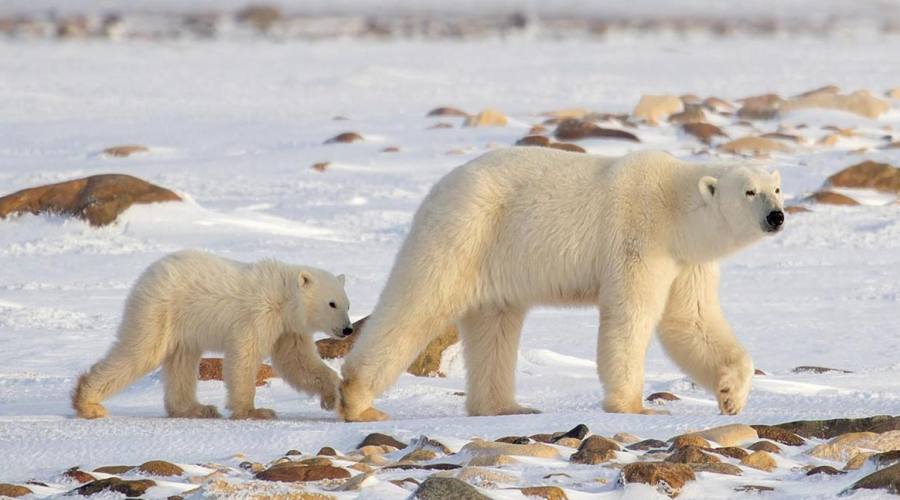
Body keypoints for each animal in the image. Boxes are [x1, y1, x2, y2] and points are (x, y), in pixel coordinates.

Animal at [342, 148, 784, 422]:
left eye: (777, 189)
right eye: (750, 192)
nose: (777, 216)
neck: (674, 207)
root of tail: (438, 189)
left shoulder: (686, 261)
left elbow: (692, 320)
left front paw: (731, 395)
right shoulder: (639, 240)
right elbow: (631, 315)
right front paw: (635, 407)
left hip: (497, 257)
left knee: (495, 324)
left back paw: (506, 407)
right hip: (468, 229)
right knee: (419, 300)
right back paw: (358, 400)